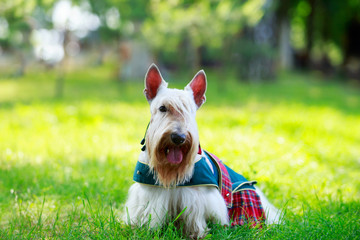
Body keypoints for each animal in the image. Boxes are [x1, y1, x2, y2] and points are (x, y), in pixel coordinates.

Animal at [124, 63, 282, 238]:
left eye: (190, 110)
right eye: (162, 108)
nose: (179, 137)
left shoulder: (197, 198)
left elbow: (196, 218)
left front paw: (198, 234)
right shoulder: (148, 195)